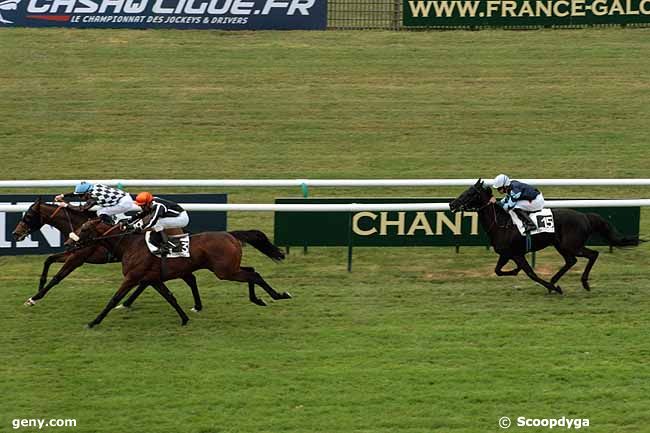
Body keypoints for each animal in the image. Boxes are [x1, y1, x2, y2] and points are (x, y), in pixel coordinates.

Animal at [10, 197, 202, 312]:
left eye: (28, 215)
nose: (15, 234)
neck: (79, 225)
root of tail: (178, 228)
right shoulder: (73, 252)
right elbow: (48, 260)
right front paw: (39, 286)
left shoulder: (78, 258)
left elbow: (58, 277)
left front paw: (34, 298)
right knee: (151, 281)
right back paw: (126, 303)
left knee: (187, 278)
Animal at [68, 219, 288, 328]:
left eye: (84, 229)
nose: (69, 243)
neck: (130, 244)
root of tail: (230, 234)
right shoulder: (152, 278)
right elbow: (170, 297)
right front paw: (184, 319)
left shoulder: (132, 277)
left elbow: (114, 299)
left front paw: (94, 322)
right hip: (229, 269)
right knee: (252, 271)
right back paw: (260, 298)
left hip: (225, 271)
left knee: (254, 275)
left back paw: (277, 295)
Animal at [448, 179, 640, 294]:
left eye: (470, 193)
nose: (452, 204)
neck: (501, 222)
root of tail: (585, 216)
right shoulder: (506, 253)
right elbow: (498, 271)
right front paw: (517, 272)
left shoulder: (515, 253)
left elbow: (530, 273)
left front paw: (553, 287)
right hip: (561, 245)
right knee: (571, 261)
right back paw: (556, 279)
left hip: (572, 245)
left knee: (592, 254)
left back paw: (583, 282)